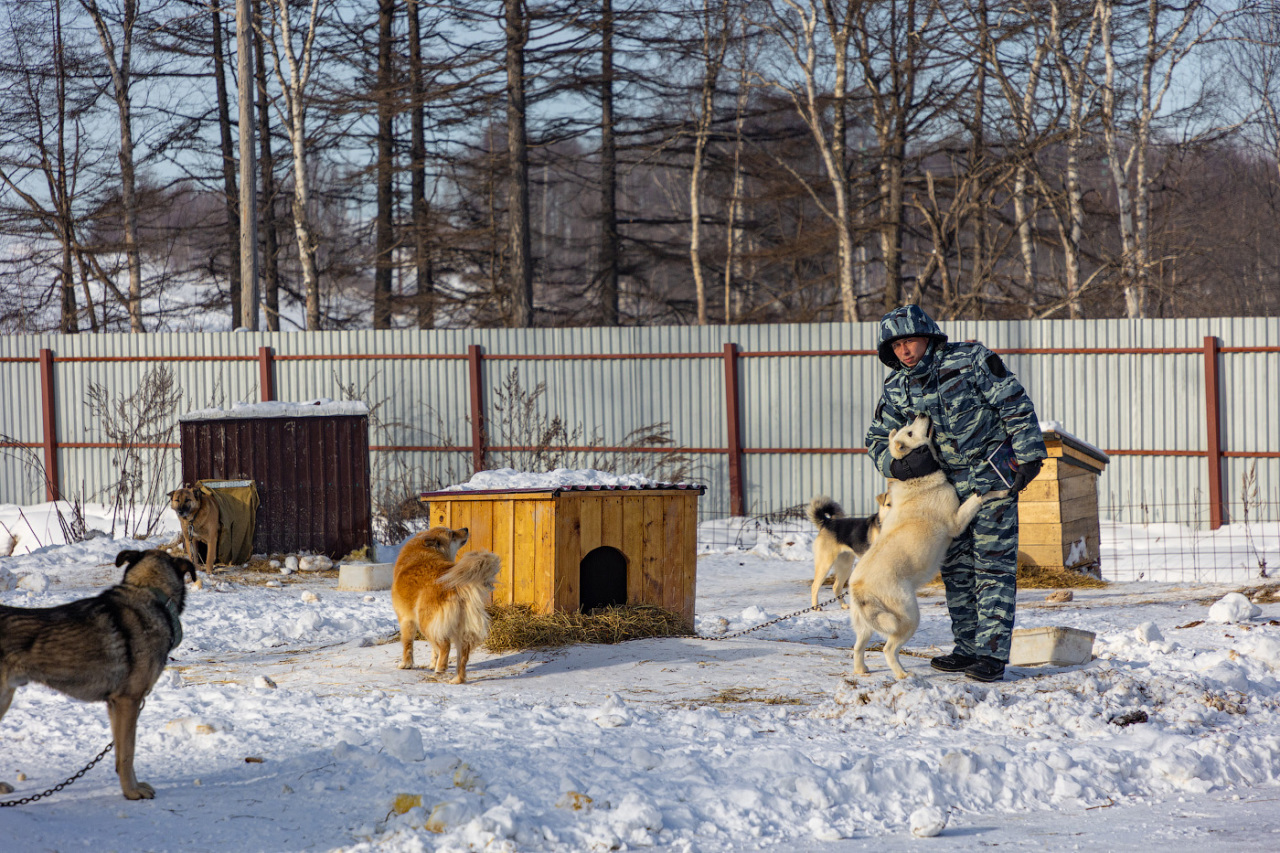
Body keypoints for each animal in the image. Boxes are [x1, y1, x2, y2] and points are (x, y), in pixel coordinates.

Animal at [0, 548, 197, 794]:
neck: (150, 594)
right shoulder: (128, 702)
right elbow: (128, 753)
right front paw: (132, 792)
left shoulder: (115, 705)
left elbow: (120, 753)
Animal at [391, 525, 501, 686]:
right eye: (452, 533)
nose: (466, 528)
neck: (426, 551)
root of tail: (455, 584)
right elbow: (433, 648)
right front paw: (432, 663)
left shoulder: (406, 619)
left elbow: (407, 644)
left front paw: (406, 664)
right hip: (461, 627)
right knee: (462, 656)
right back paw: (456, 679)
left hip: (425, 622)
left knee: (445, 646)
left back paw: (441, 668)